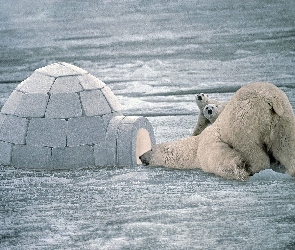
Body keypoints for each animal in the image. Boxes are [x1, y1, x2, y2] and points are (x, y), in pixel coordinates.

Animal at [140, 83, 295, 181]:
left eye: (151, 148)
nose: (141, 156)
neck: (193, 148)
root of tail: (270, 98)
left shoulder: (206, 145)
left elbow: (218, 157)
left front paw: (238, 168)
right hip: (283, 119)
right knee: (286, 146)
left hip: (244, 120)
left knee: (251, 147)